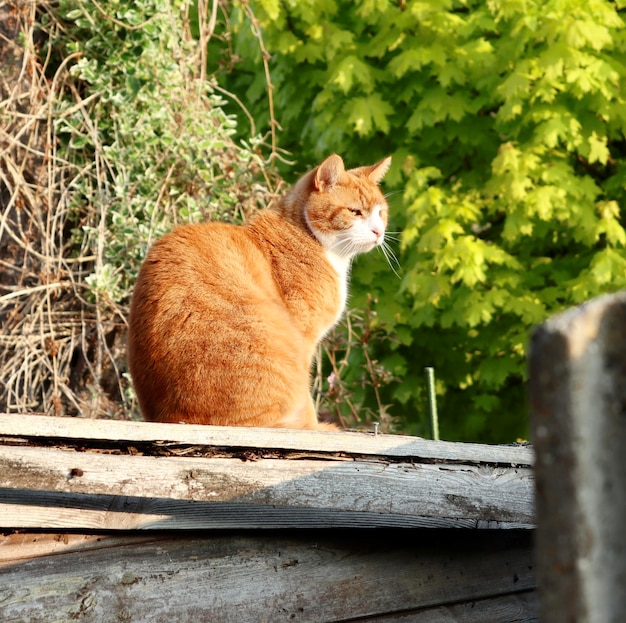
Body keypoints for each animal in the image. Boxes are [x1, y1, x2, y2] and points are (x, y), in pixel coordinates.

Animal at [127, 154, 390, 432]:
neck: (310, 238)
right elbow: (306, 395)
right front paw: (313, 424)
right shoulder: (304, 338)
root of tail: (177, 417)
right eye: (355, 212)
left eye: (380, 213)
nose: (378, 231)